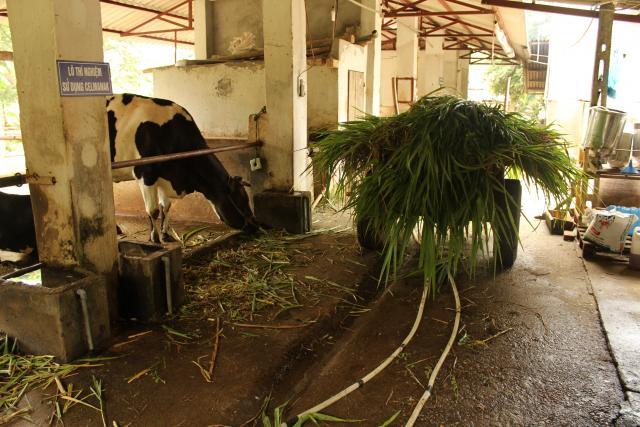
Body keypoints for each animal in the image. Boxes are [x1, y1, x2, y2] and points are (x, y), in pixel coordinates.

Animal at [107, 93, 258, 244]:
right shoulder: (145, 174)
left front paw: (165, 235)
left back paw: (117, 229)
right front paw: (155, 239)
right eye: (241, 202)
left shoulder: (164, 176)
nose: (255, 226)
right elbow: (153, 210)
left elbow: (165, 206)